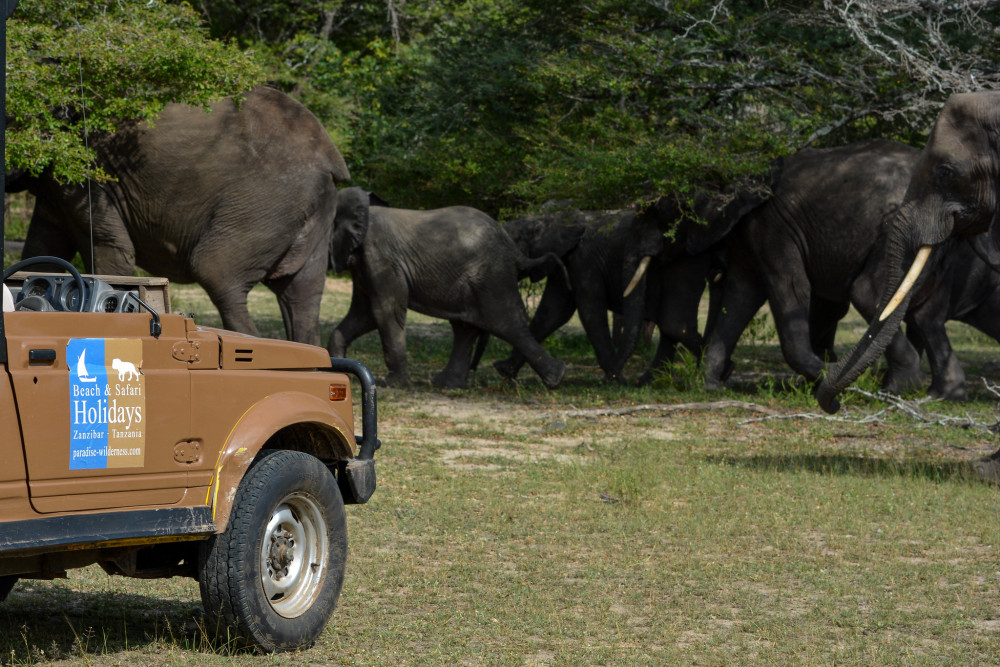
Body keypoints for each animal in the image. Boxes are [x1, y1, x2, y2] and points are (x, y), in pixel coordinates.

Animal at [8, 85, 348, 344]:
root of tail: (330, 157)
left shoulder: (85, 179)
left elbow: (111, 249)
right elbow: (41, 248)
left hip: (265, 202)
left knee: (216, 271)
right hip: (308, 209)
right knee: (300, 294)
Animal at [326, 185, 568, 388]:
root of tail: (513, 249)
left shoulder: (381, 257)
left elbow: (384, 311)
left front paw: (393, 383)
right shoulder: (363, 265)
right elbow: (363, 314)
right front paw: (338, 371)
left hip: (492, 276)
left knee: (507, 324)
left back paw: (555, 378)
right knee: (465, 327)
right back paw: (446, 383)